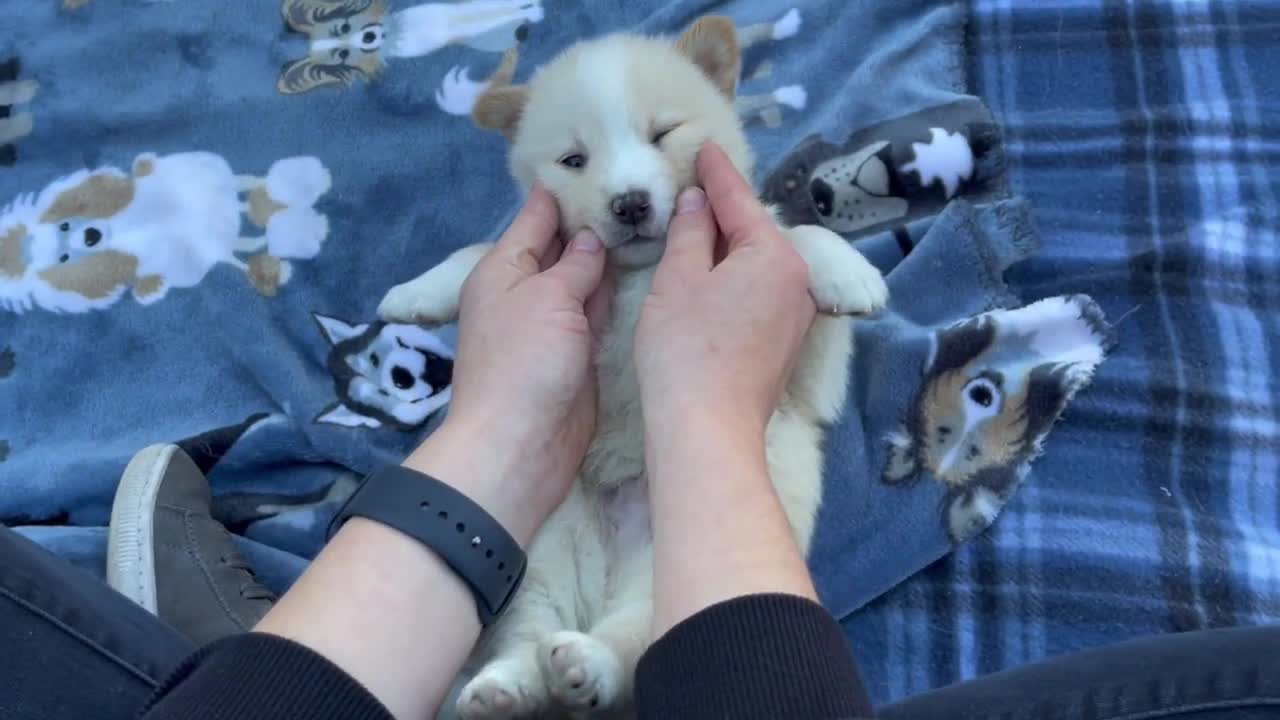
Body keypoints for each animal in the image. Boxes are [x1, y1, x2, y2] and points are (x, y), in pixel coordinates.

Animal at [373, 16, 885, 717]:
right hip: (540, 553)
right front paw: (416, 292)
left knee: (633, 643)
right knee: (533, 633)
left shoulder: (805, 381)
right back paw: (509, 687)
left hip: (673, 567)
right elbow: (481, 257)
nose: (631, 204)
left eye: (662, 132)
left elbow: (798, 236)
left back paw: (587, 664)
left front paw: (846, 270)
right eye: (574, 160)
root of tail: (606, 578)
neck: (640, 273)